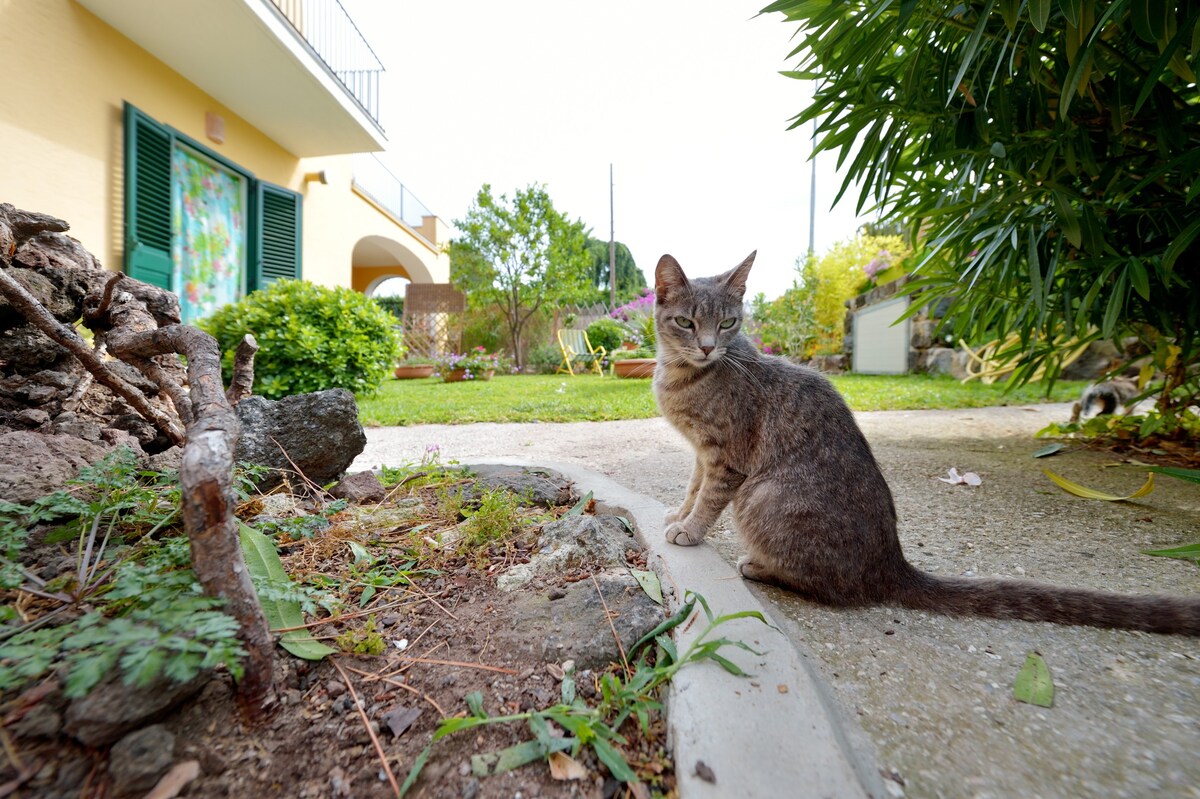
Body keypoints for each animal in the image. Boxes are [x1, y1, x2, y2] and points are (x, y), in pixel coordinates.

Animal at [652, 251, 1200, 633]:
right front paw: (679, 513)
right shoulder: (703, 453)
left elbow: (709, 498)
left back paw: (760, 566)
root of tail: (892, 566)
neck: (684, 376)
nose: (708, 346)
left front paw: (690, 529)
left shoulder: (727, 459)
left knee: (827, 585)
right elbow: (693, 487)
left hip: (761, 496)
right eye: (686, 322)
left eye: (727, 322)